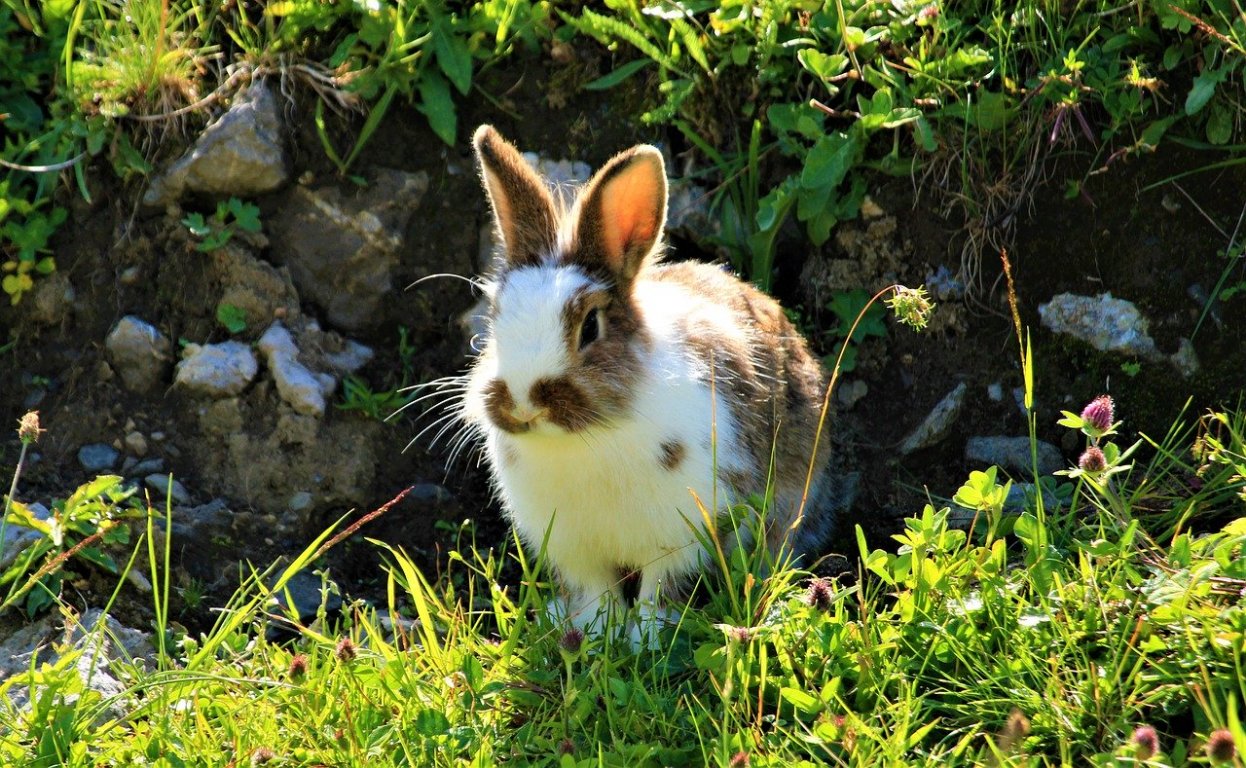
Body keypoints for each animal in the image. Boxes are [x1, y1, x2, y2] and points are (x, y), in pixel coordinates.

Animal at [458, 124, 837, 630]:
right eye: (496, 318)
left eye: (590, 327)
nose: (523, 404)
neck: (585, 438)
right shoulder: (575, 549)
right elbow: (596, 591)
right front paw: (593, 630)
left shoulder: (685, 530)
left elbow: (660, 588)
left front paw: (646, 635)